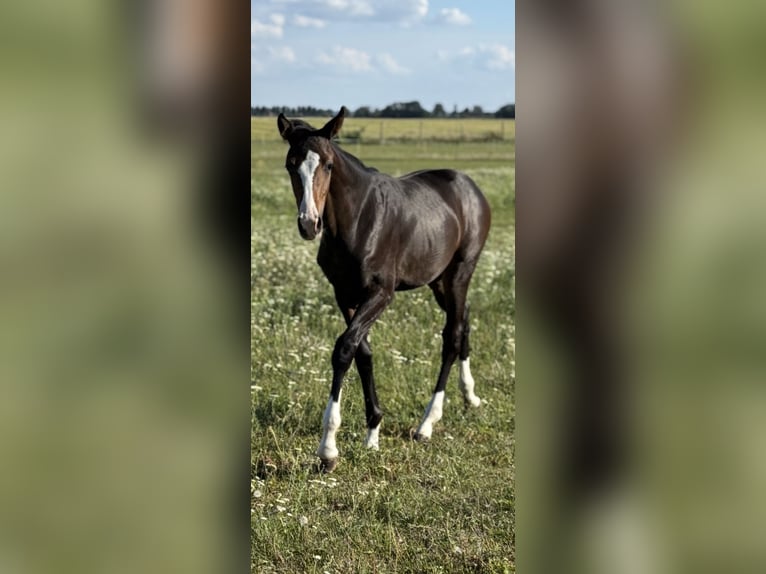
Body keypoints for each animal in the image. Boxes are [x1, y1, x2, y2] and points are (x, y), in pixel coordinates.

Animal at [277, 107, 491, 471]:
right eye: (292, 165)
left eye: (328, 165)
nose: (309, 224)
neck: (358, 220)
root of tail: (471, 187)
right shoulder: (345, 294)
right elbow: (363, 352)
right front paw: (373, 432)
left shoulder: (381, 294)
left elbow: (344, 348)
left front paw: (328, 449)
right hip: (439, 280)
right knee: (464, 320)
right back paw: (470, 396)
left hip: (461, 272)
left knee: (451, 335)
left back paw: (427, 424)